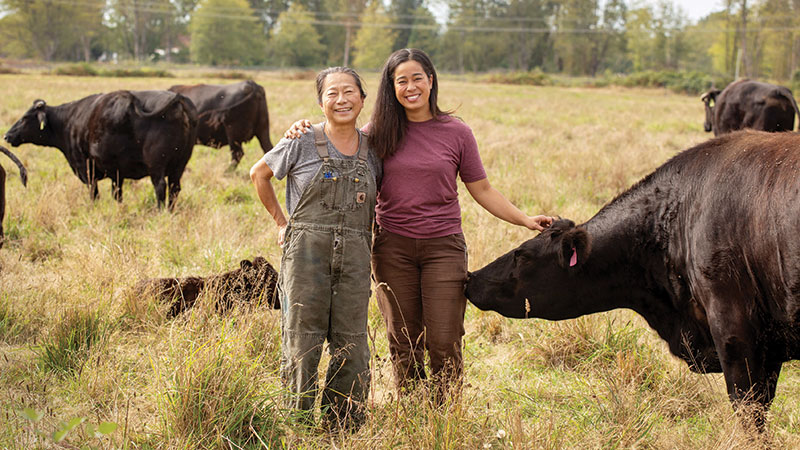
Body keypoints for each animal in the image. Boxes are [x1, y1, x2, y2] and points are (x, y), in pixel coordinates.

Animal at [3, 92, 198, 211]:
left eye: (25, 118)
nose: (7, 135)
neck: (69, 121)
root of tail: (178, 100)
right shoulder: (117, 173)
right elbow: (117, 194)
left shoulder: (86, 168)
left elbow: (94, 193)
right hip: (178, 165)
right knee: (174, 189)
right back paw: (170, 211)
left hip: (157, 165)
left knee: (160, 187)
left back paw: (160, 212)